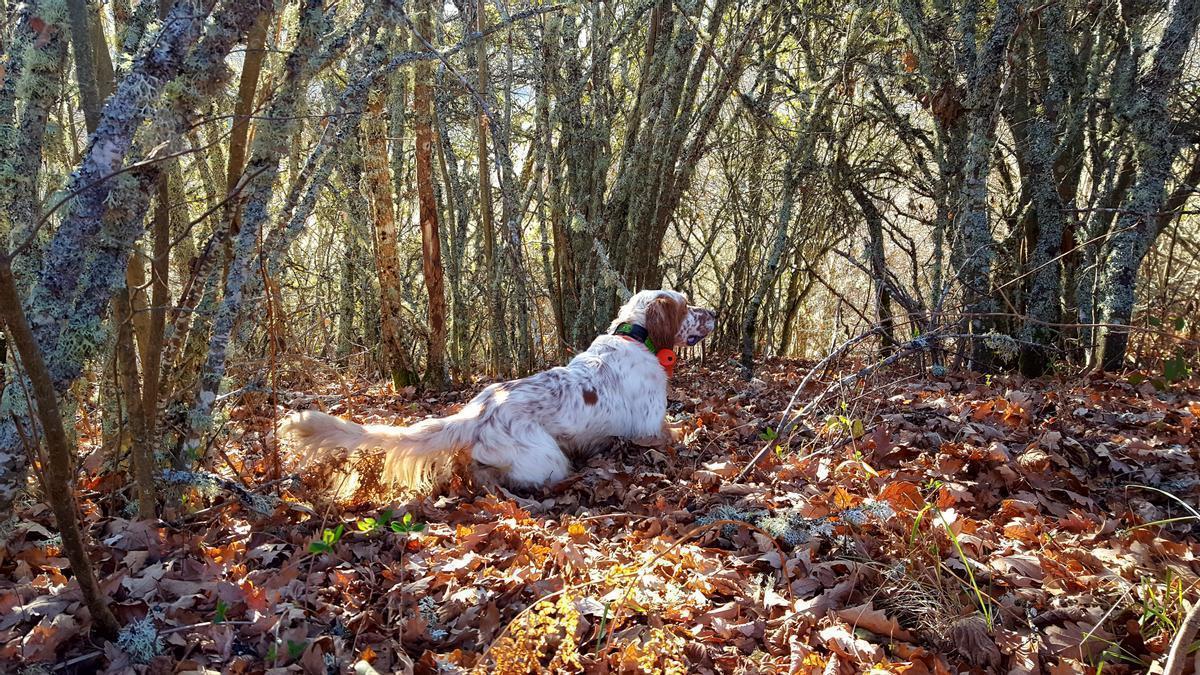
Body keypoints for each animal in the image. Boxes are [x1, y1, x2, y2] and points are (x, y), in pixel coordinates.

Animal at [278, 288, 710, 487]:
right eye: (687, 306)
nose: (714, 312)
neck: (636, 336)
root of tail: (474, 413)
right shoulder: (650, 429)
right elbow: (680, 431)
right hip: (548, 459)